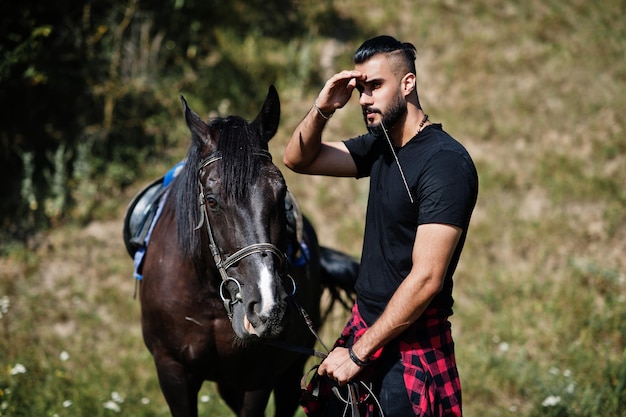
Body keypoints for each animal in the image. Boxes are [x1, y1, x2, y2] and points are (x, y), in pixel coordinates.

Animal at [124, 86, 356, 414]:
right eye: (211, 200)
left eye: (281, 192)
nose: (267, 306)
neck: (209, 296)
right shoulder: (172, 372)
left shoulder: (257, 379)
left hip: (290, 371)